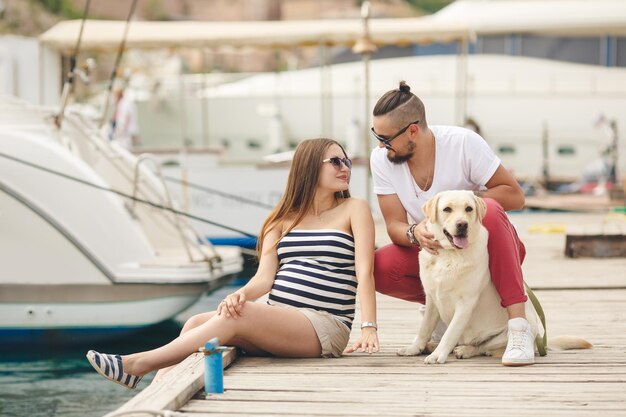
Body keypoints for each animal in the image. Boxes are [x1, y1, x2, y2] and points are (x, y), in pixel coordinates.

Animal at [398, 190, 588, 362]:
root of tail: (538, 342)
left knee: (481, 346)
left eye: (469, 208)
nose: (462, 225)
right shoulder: (431, 298)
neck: (450, 255)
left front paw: (438, 355)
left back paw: (465, 350)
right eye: (447, 209)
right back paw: (432, 345)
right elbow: (424, 328)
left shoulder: (465, 304)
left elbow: (450, 333)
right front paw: (415, 348)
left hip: (505, 333)